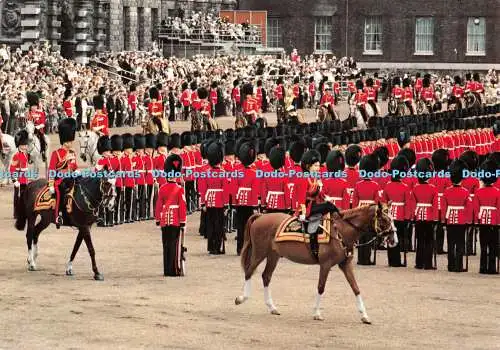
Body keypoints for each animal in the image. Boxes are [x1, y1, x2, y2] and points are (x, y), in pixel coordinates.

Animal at [235, 204, 398, 324]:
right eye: (384, 220)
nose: (394, 240)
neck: (340, 231)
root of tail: (261, 216)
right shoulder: (325, 265)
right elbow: (321, 287)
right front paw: (317, 313)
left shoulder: (345, 264)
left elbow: (355, 288)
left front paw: (364, 315)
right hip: (260, 253)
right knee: (249, 272)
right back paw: (242, 298)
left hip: (273, 256)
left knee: (266, 276)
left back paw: (272, 307)